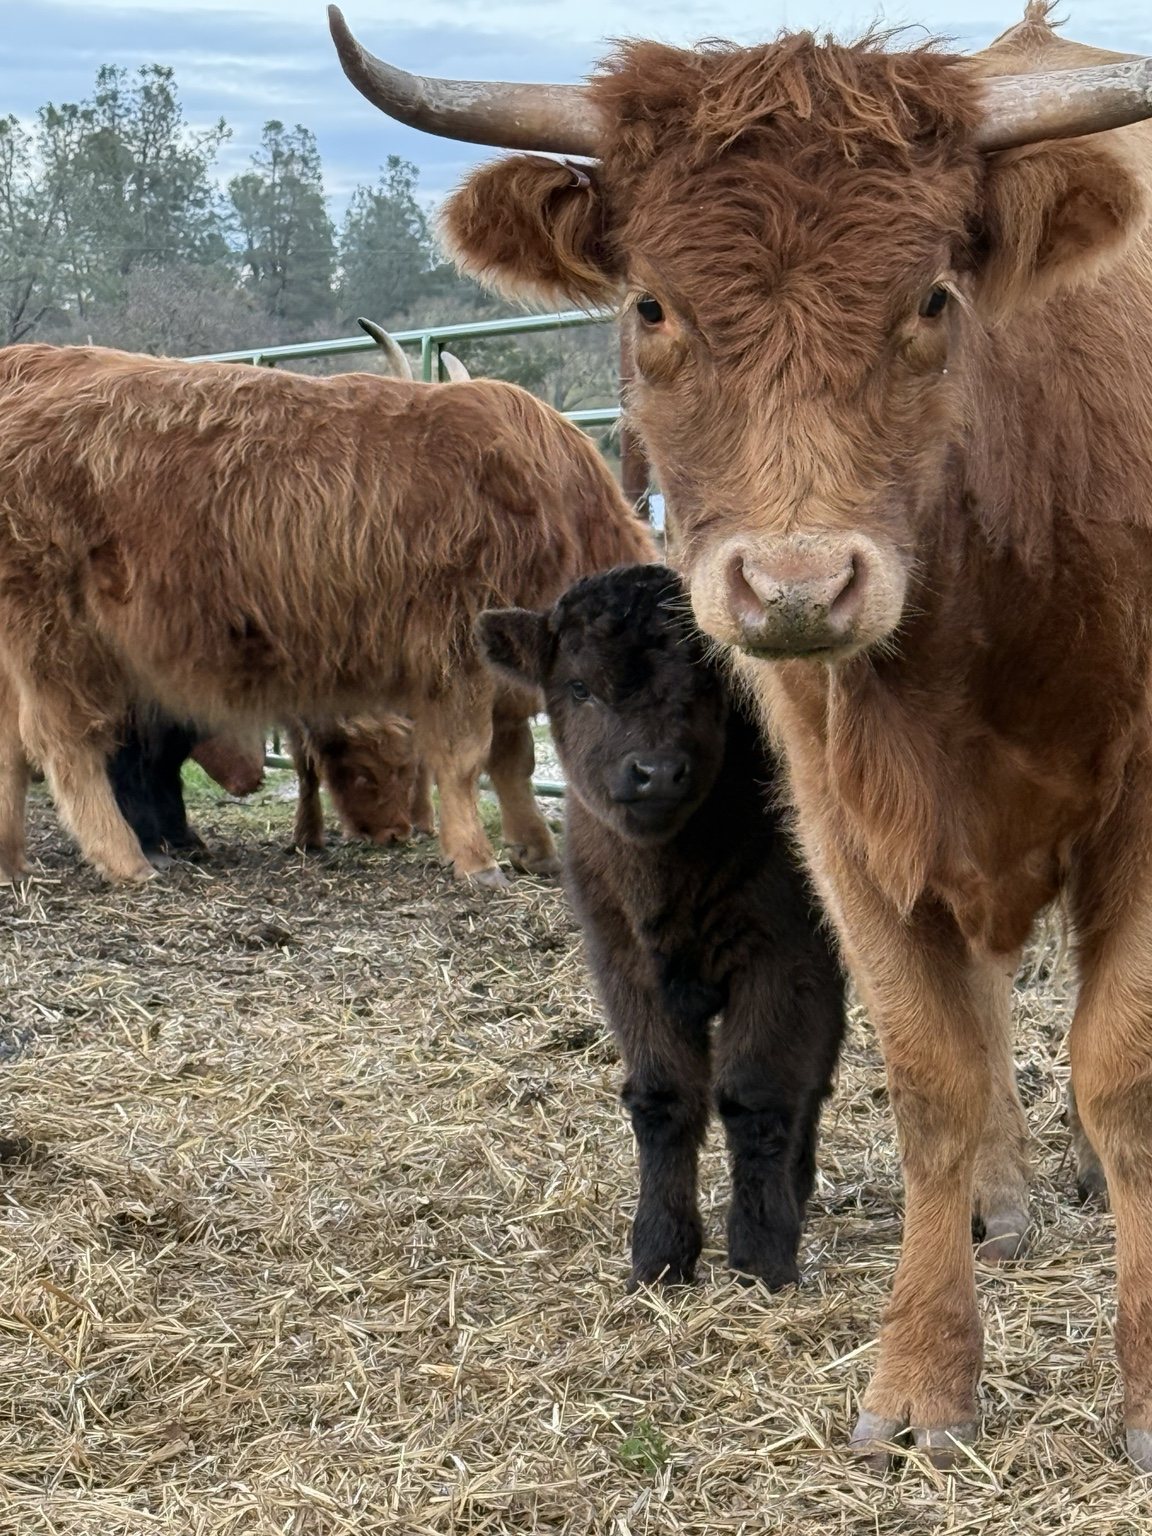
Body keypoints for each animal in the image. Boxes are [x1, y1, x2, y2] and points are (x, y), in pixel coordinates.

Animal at [0, 342, 654, 889]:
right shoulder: (456, 649)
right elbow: (469, 758)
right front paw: (477, 860)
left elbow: (513, 758)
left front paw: (536, 850)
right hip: (56, 636)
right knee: (62, 740)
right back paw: (125, 860)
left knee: (10, 742)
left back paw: (13, 861)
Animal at [478, 564, 846, 1290]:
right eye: (579, 687)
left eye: (708, 682)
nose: (655, 772)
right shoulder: (623, 963)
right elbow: (664, 1096)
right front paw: (659, 1251)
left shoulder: (785, 958)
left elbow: (756, 1092)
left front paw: (762, 1250)